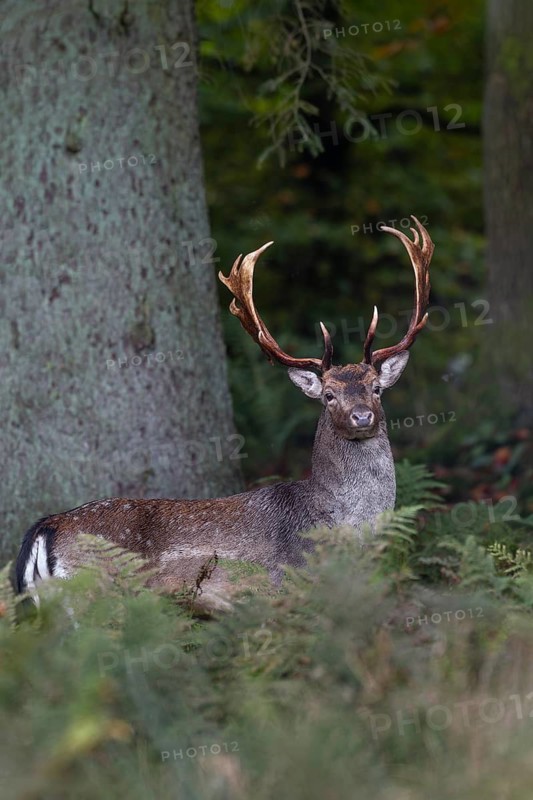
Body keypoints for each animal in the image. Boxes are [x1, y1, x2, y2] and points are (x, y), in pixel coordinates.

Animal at [15, 217, 434, 610]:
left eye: (376, 388)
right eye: (329, 395)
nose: (362, 416)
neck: (345, 531)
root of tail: (45, 527)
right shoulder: (287, 584)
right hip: (96, 591)